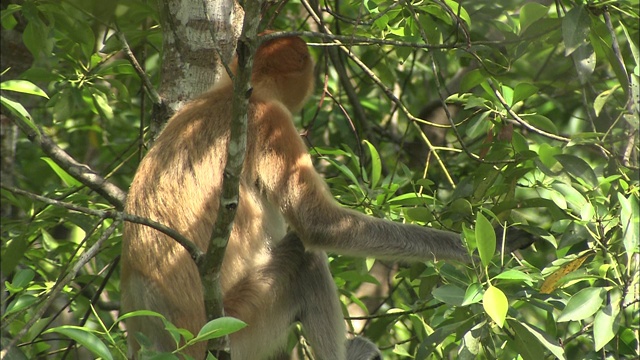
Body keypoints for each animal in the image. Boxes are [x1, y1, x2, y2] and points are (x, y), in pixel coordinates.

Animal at [122, 34, 532, 360]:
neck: (233, 93)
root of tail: (170, 340)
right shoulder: (271, 122)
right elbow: (319, 224)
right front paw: (480, 246)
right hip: (237, 326)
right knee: (306, 259)